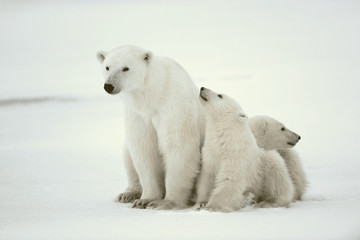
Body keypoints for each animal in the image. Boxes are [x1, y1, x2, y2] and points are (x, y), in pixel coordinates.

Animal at [97, 46, 205, 209]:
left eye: (126, 68)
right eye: (107, 67)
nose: (109, 86)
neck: (155, 95)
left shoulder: (174, 108)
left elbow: (179, 148)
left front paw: (167, 202)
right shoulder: (139, 115)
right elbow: (144, 151)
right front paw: (145, 200)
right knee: (127, 154)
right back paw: (127, 194)